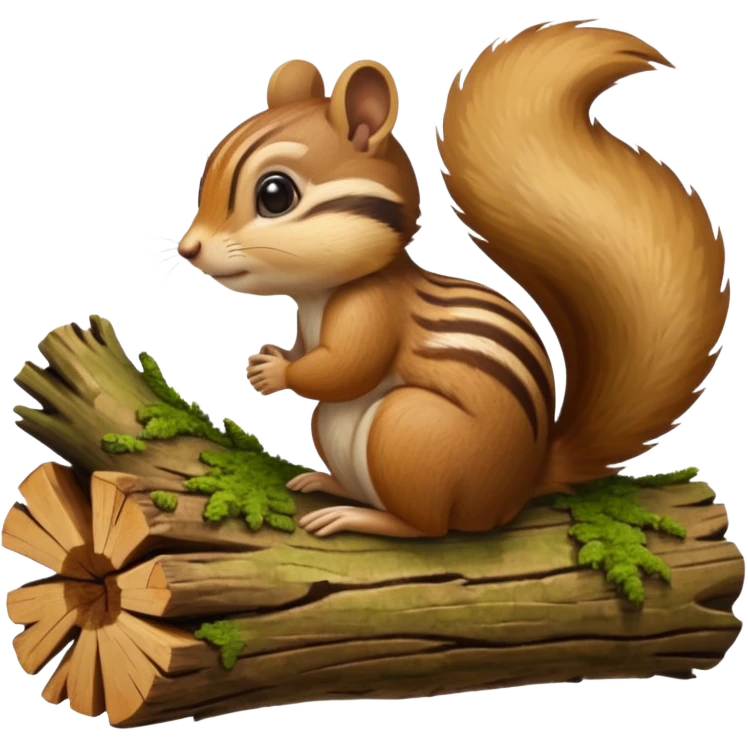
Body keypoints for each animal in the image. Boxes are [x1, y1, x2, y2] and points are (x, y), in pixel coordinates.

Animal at [177, 19, 729, 540]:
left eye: (275, 195)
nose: (188, 249)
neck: (319, 295)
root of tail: (518, 489)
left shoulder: (374, 310)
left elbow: (345, 367)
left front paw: (274, 372)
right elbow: (309, 354)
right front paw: (275, 357)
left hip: (409, 431)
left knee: (429, 526)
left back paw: (362, 518)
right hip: (340, 427)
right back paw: (329, 483)